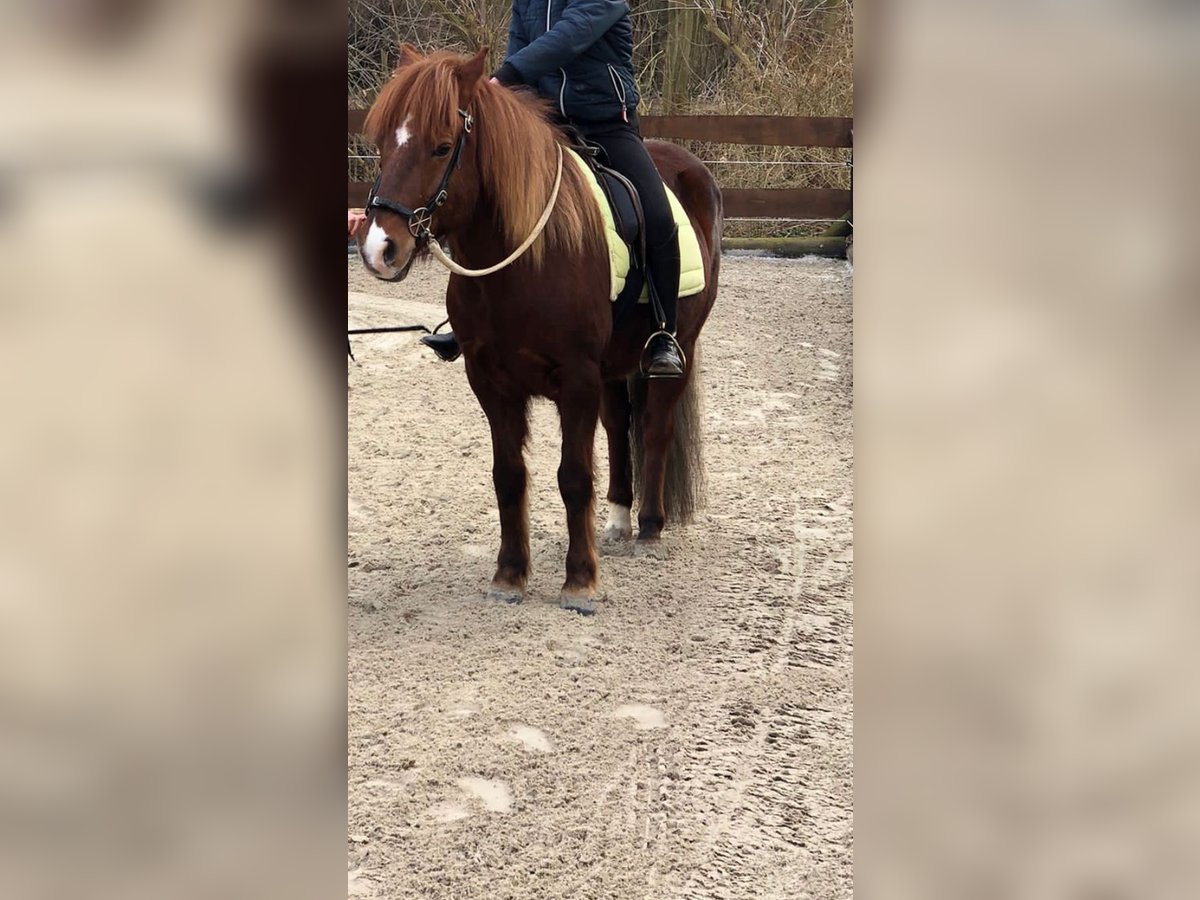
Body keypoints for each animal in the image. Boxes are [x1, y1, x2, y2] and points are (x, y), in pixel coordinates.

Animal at [355, 45, 720, 619]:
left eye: (442, 147)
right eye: (382, 143)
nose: (378, 248)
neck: (522, 263)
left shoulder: (576, 379)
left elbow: (573, 476)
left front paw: (580, 582)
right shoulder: (490, 381)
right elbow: (508, 476)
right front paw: (509, 575)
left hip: (675, 347)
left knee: (655, 427)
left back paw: (649, 529)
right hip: (613, 369)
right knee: (619, 427)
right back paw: (617, 520)